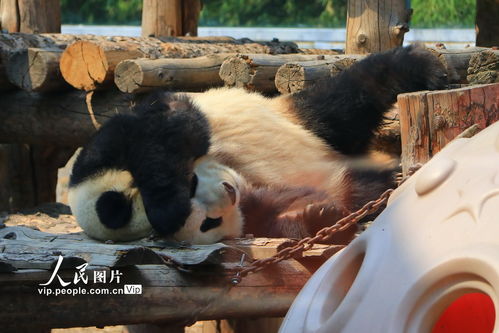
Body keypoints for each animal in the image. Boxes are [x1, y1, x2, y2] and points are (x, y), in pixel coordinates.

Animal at [68, 44, 448, 243]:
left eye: (191, 183)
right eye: (207, 223)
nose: (227, 191)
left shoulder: (108, 144)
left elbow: (170, 126)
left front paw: (165, 203)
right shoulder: (252, 209)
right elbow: (270, 217)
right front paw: (316, 216)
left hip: (302, 120)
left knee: (352, 94)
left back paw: (424, 68)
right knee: (357, 177)